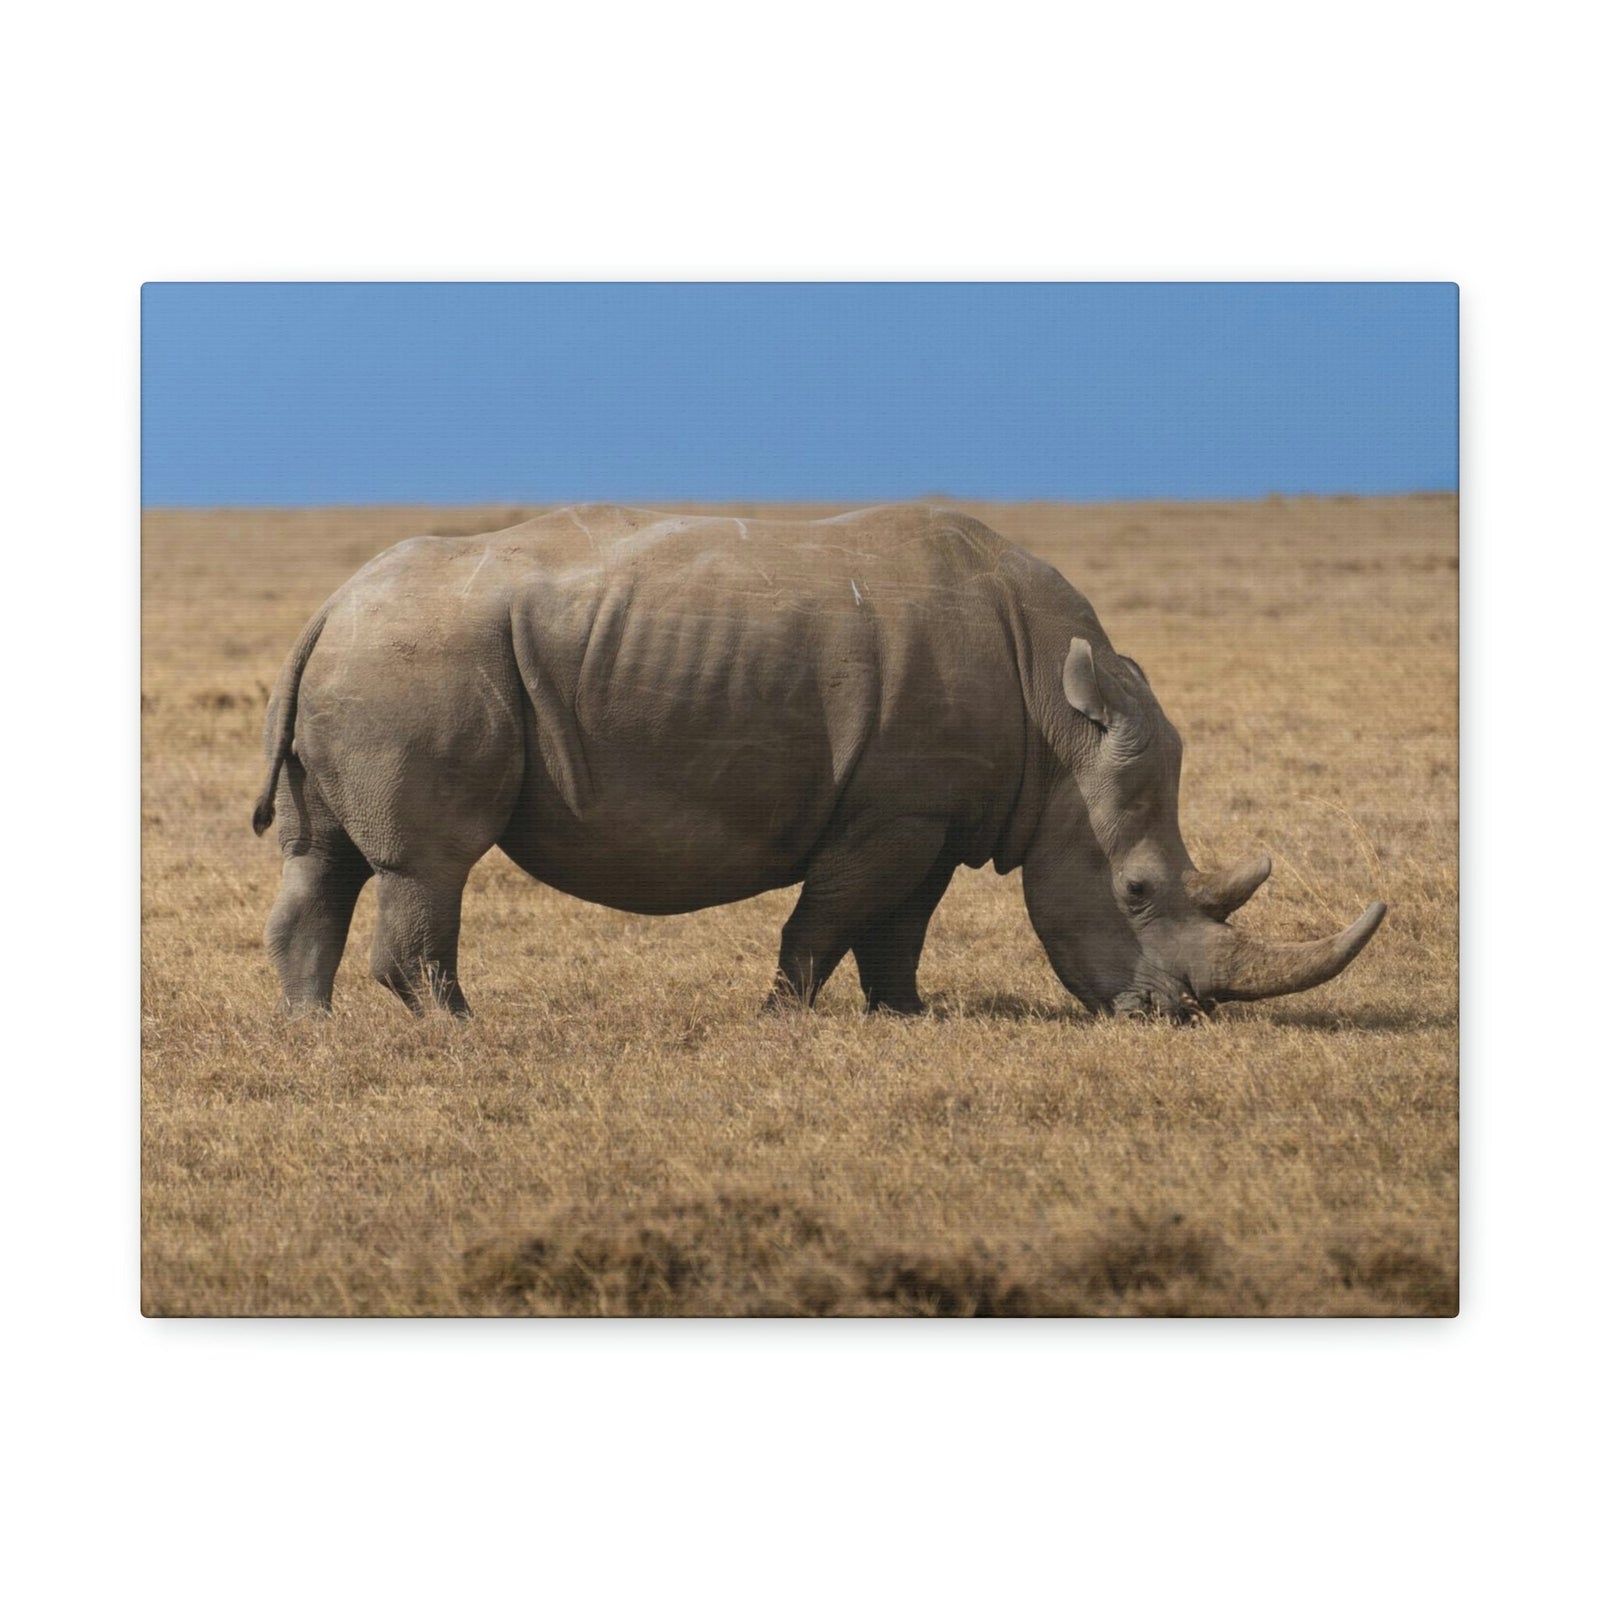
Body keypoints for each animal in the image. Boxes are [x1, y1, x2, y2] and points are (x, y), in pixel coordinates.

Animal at [253, 504, 1385, 1019]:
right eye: (1139, 890)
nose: (1173, 1015)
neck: (1059, 726)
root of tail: (329, 605)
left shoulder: (936, 811)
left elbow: (899, 925)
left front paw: (908, 1017)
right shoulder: (893, 809)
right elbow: (831, 917)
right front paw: (785, 1016)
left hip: (372, 661)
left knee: (324, 859)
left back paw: (316, 1027)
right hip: (415, 664)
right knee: (430, 862)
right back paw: (459, 1026)